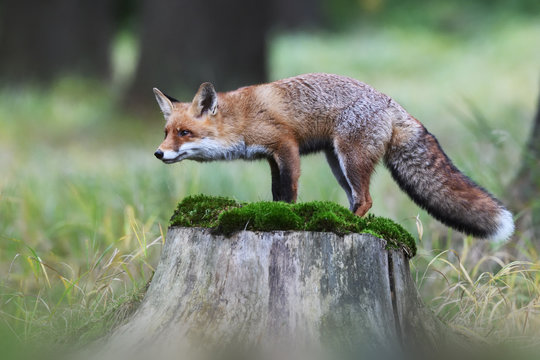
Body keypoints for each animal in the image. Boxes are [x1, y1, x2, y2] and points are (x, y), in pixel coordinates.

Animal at [152, 73, 516, 242]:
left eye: (184, 133)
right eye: (166, 131)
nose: (158, 153)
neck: (241, 117)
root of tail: (392, 103)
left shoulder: (286, 146)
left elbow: (288, 193)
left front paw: (287, 218)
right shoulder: (271, 158)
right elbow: (276, 192)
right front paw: (277, 212)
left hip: (349, 158)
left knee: (366, 200)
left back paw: (347, 225)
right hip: (337, 163)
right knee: (358, 198)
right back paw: (344, 218)